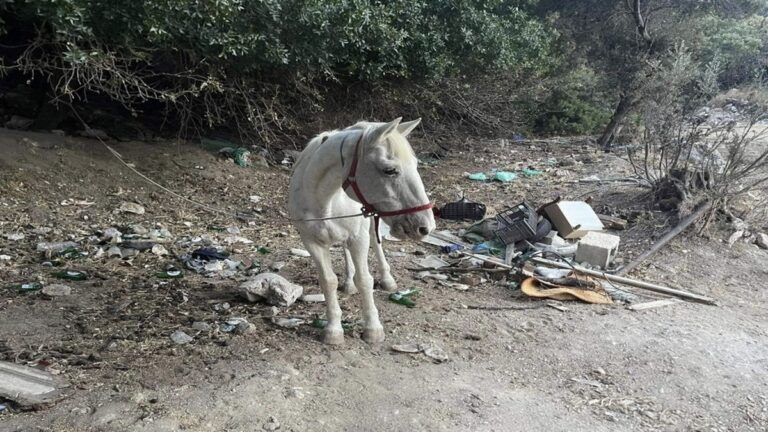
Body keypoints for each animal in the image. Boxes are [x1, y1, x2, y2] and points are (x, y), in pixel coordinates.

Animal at [288, 117, 436, 344]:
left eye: (416, 165)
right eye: (389, 170)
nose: (425, 226)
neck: (325, 200)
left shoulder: (358, 238)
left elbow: (365, 280)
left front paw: (373, 329)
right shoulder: (311, 242)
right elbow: (328, 281)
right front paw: (333, 330)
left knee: (376, 243)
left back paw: (387, 279)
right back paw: (348, 283)